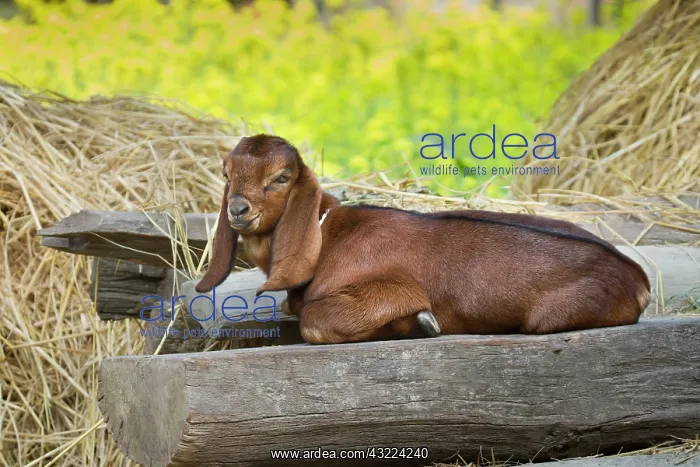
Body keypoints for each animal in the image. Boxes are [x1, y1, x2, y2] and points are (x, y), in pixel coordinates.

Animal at [195, 134, 651, 344]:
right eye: (226, 172)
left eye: (282, 177)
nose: (238, 209)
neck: (326, 236)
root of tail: (639, 277)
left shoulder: (390, 288)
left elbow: (313, 322)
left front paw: (422, 324)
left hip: (551, 315)